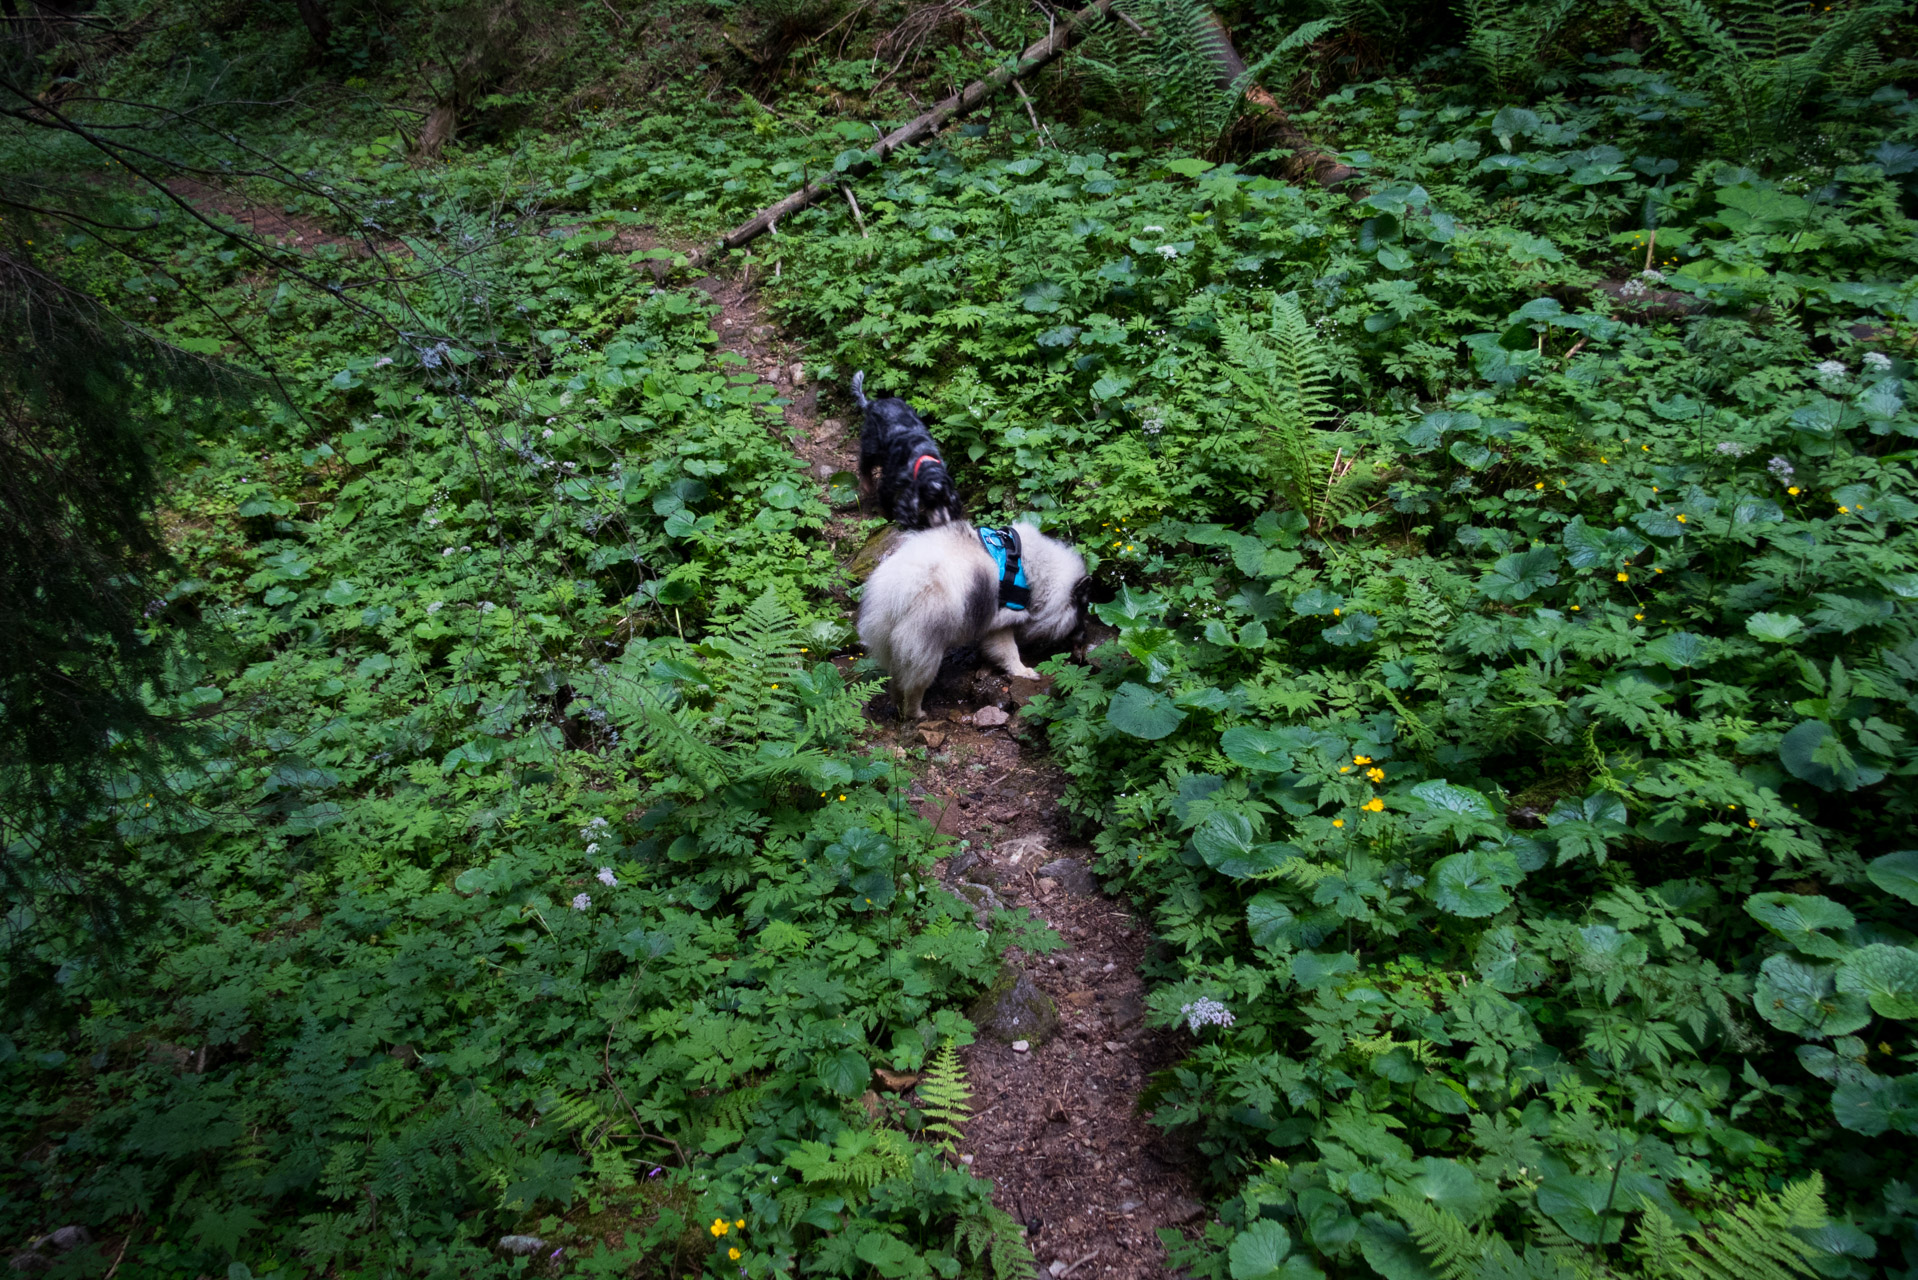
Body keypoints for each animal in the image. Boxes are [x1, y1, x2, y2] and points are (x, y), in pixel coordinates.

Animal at [851, 370, 959, 529]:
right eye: (930, 502)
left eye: (946, 500)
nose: (944, 524)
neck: (924, 458)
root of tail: (873, 403)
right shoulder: (888, 485)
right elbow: (886, 504)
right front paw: (888, 520)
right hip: (871, 443)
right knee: (865, 462)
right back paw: (867, 485)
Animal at [863, 521, 1089, 721]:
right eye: (1083, 610)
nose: (1084, 637)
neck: (1034, 572)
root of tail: (897, 591)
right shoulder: (1003, 620)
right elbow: (1010, 652)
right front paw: (1023, 671)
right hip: (925, 649)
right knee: (913, 687)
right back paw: (916, 713)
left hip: (894, 648)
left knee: (896, 682)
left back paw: (899, 708)